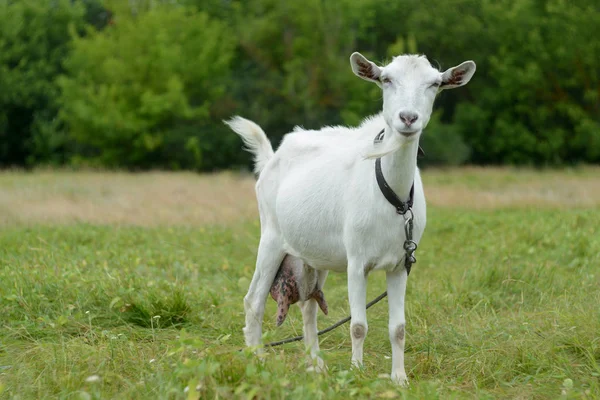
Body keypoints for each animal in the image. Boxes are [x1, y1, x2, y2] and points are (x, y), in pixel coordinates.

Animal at [225, 51, 474, 386]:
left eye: (434, 84)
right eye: (386, 79)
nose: (408, 118)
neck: (391, 194)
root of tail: (272, 157)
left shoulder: (400, 265)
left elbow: (398, 328)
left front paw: (399, 378)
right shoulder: (357, 262)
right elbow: (358, 325)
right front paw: (356, 373)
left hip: (314, 257)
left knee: (308, 306)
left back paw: (316, 366)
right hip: (272, 238)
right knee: (254, 301)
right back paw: (258, 361)